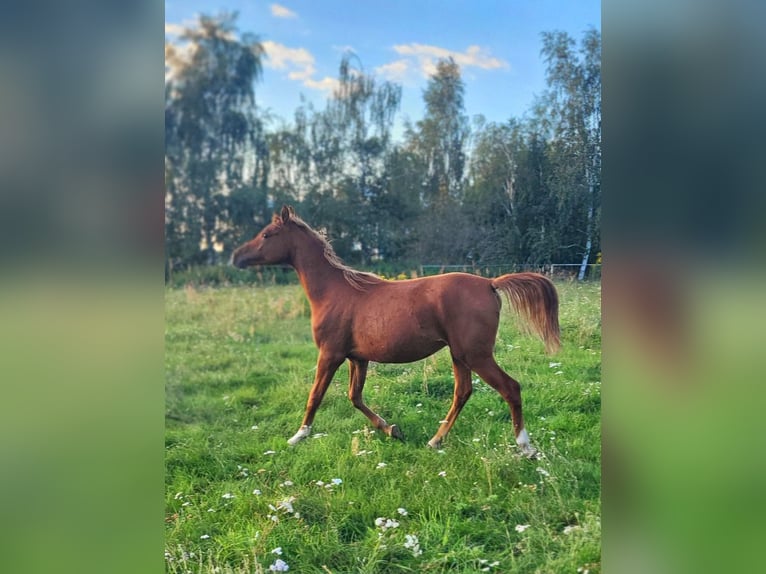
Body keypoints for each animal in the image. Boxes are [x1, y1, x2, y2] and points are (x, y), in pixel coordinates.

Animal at [232, 206, 560, 456]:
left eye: (267, 234)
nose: (235, 257)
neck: (335, 292)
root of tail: (491, 283)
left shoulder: (330, 354)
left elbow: (316, 395)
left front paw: (297, 437)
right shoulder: (358, 358)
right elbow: (354, 396)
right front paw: (392, 430)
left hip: (476, 354)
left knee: (510, 388)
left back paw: (525, 447)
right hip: (459, 355)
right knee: (463, 392)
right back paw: (435, 441)